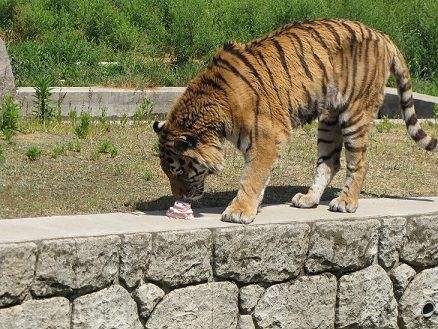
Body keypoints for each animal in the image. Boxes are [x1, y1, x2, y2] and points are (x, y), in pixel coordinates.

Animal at [152, 18, 436, 223]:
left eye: (178, 170)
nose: (179, 197)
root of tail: (382, 34)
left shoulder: (267, 137)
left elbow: (251, 177)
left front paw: (239, 211)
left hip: (355, 113)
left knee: (360, 162)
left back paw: (346, 203)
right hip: (329, 119)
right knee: (329, 162)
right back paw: (309, 199)